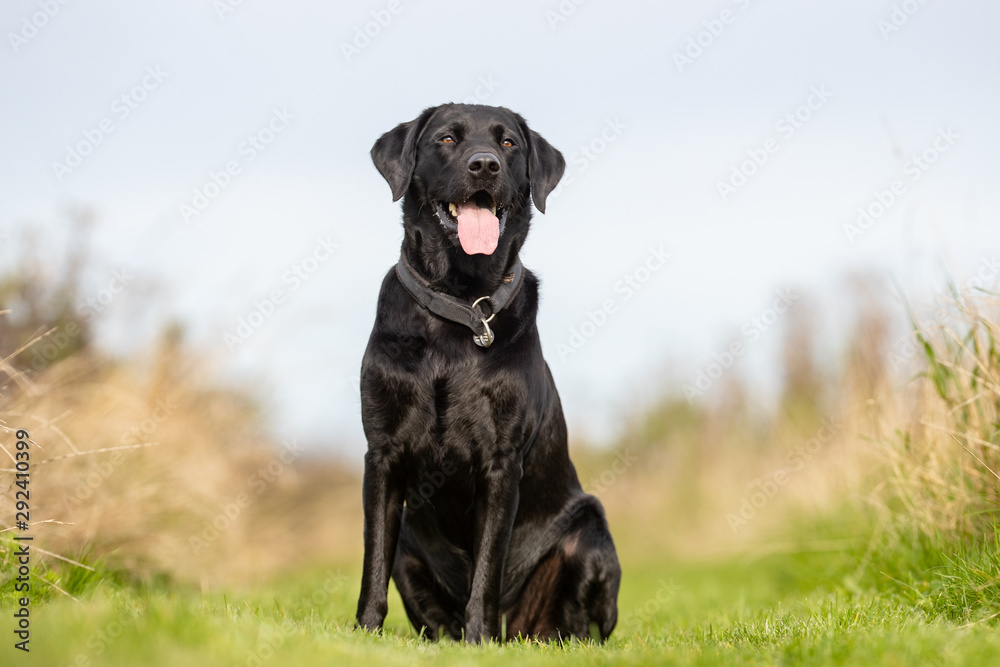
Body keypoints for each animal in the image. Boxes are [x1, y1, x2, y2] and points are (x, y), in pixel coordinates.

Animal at [352, 103, 616, 640]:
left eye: (509, 143)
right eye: (447, 138)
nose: (485, 165)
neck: (459, 301)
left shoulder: (501, 461)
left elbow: (488, 565)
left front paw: (480, 639)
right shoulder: (382, 454)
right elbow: (374, 560)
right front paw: (364, 634)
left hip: (592, 529)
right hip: (411, 542)